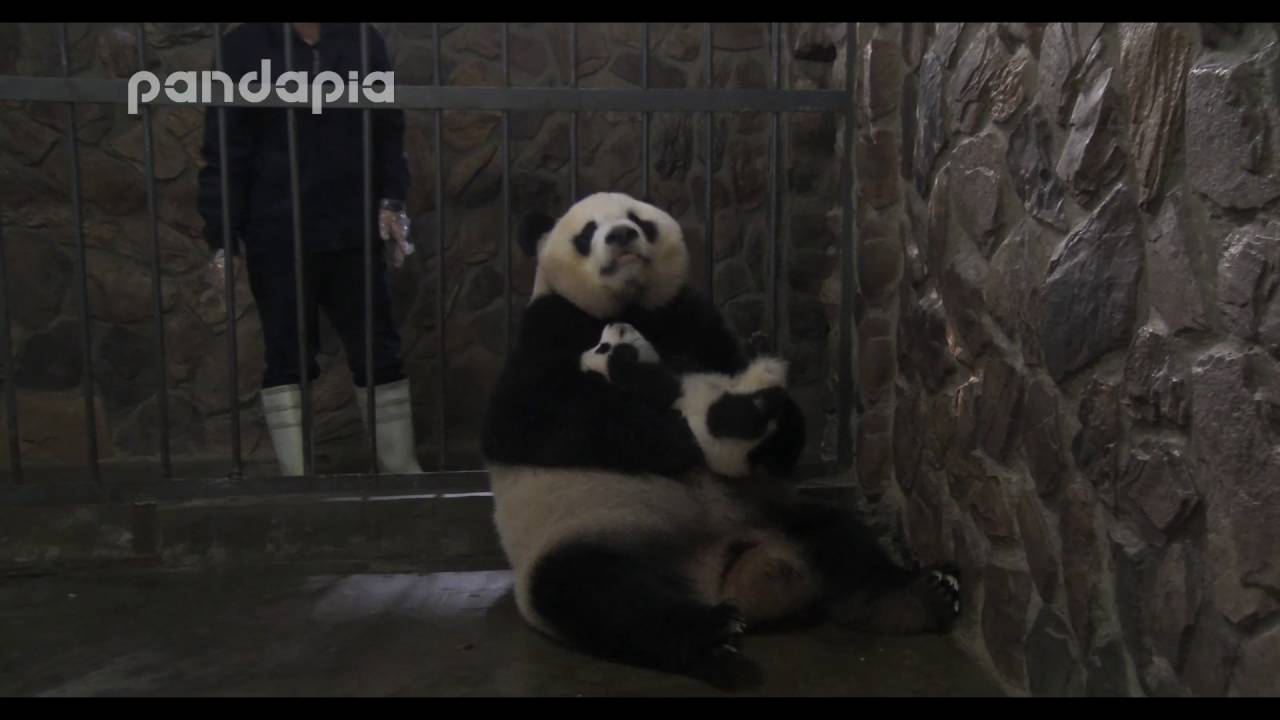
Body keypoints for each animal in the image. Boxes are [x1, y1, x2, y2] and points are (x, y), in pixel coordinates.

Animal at [481, 192, 961, 690]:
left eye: (638, 220)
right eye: (587, 231)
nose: (621, 236)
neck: (631, 305)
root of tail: (714, 576)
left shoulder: (689, 316)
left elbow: (739, 381)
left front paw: (764, 414)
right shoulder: (548, 327)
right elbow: (522, 419)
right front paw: (689, 434)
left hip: (768, 512)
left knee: (837, 536)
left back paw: (917, 598)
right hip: (578, 540)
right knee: (600, 598)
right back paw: (711, 638)